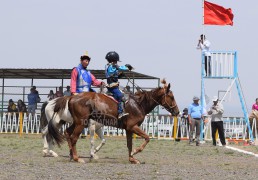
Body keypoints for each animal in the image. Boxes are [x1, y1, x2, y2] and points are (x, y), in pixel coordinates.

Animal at [46, 79, 179, 164]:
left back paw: (71, 155)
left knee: (68, 133)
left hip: (77, 122)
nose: (177, 112)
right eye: (171, 97)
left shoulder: (129, 129)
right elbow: (146, 138)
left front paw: (132, 159)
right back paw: (76, 158)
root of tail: (72, 97)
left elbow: (129, 144)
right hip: (80, 123)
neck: (138, 104)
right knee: (73, 137)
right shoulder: (133, 126)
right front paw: (136, 152)